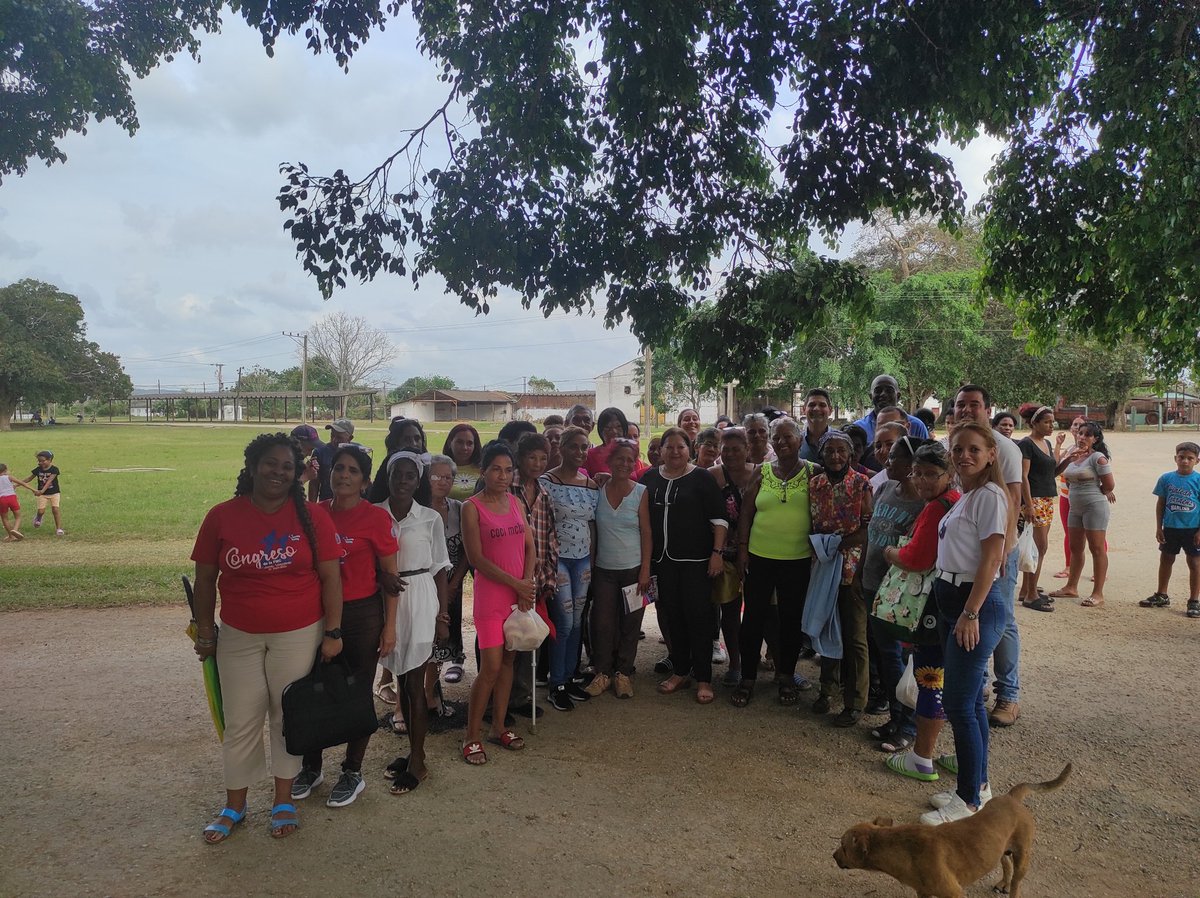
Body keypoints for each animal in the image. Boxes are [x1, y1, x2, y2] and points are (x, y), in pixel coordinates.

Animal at [830, 763, 1075, 897]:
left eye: (843, 846)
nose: (832, 855)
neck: (901, 847)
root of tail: (1012, 797)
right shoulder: (923, 893)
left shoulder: (954, 893)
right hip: (1001, 848)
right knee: (1005, 864)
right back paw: (1003, 883)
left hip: (1023, 855)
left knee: (1017, 882)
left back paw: (1011, 888)